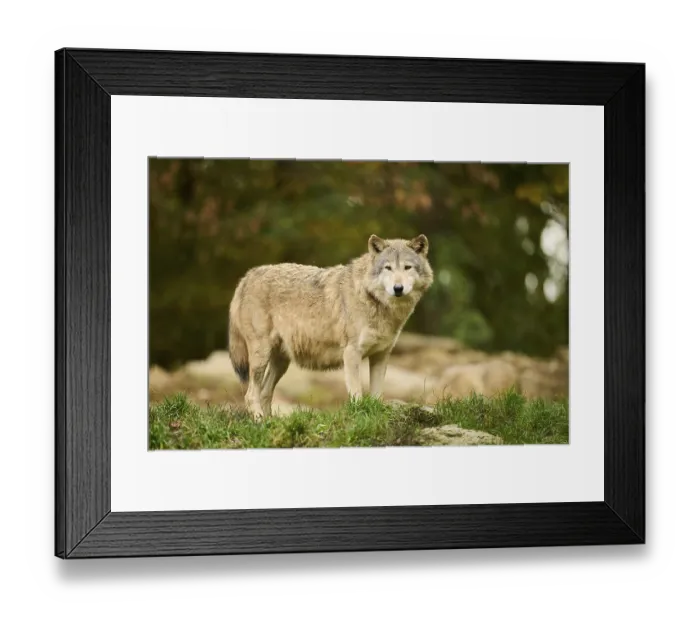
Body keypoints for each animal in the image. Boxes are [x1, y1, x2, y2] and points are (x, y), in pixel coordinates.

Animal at [228, 234, 434, 419]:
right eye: (388, 268)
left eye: (407, 267)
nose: (398, 289)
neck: (373, 300)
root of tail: (247, 276)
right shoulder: (351, 354)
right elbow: (357, 395)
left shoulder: (381, 355)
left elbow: (376, 395)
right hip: (261, 357)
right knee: (250, 394)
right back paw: (258, 421)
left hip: (281, 362)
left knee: (264, 393)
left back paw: (270, 423)